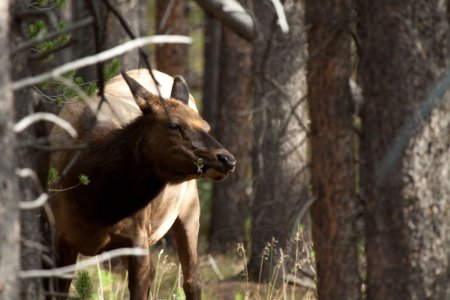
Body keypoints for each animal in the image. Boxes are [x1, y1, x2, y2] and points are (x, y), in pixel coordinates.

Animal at [49, 69, 237, 298]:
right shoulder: (60, 238)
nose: (228, 160)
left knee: (192, 280)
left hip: (189, 207)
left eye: (206, 126)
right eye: (174, 124)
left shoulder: (137, 238)